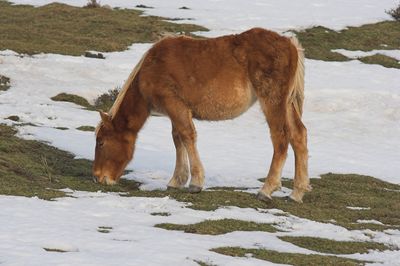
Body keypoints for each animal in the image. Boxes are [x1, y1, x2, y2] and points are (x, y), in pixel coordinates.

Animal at [92, 27, 310, 203]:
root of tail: (290, 44)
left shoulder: (175, 105)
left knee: (281, 138)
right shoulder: (176, 110)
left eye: (101, 142)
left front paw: (195, 182)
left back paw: (266, 190)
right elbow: (178, 138)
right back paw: (296, 193)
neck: (151, 68)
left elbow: (187, 136)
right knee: (298, 136)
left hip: (272, 102)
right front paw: (177, 180)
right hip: (288, 105)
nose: (97, 177)